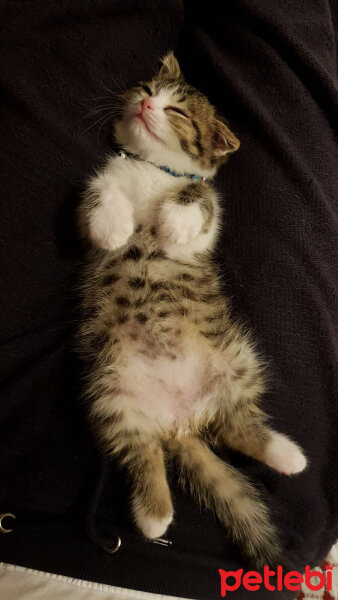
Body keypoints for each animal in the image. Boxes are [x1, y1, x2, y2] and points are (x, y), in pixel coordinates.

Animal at [78, 51, 306, 568]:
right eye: (147, 88)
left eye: (177, 111)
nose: (146, 104)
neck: (154, 171)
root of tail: (180, 422)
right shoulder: (105, 180)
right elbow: (98, 195)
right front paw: (112, 227)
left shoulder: (208, 218)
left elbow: (201, 199)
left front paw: (173, 221)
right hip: (112, 396)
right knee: (143, 453)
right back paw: (154, 515)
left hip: (238, 364)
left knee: (238, 426)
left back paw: (286, 455)